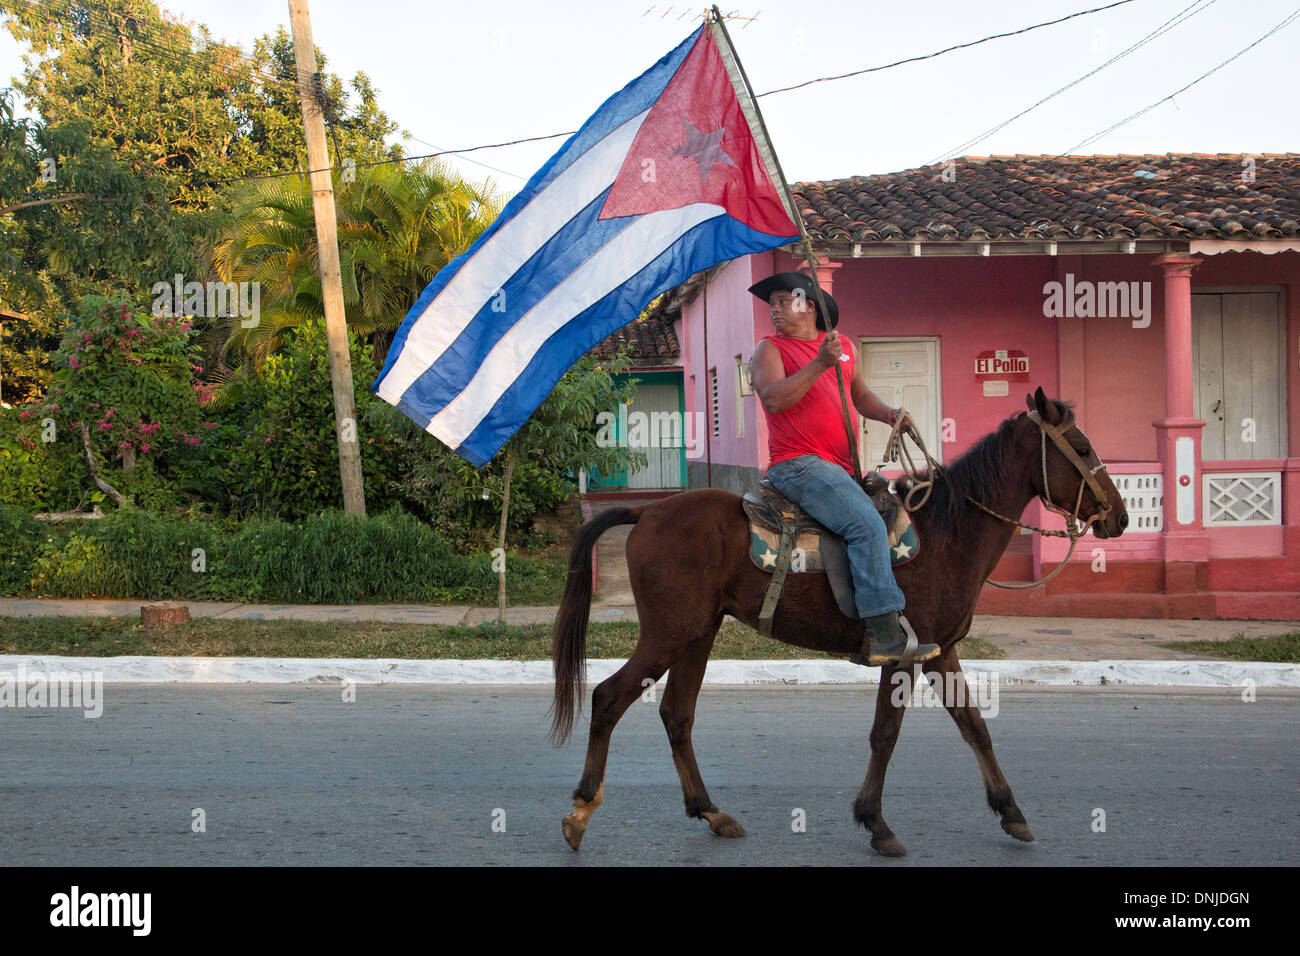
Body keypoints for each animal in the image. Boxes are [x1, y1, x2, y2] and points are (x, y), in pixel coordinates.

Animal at [548, 385, 1128, 858]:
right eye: (1080, 447)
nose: (1120, 516)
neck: (948, 533)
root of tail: (647, 511)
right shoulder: (902, 656)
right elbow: (885, 735)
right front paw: (876, 823)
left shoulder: (940, 651)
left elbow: (975, 727)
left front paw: (1011, 812)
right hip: (669, 633)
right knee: (609, 697)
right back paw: (580, 811)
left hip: (698, 633)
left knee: (676, 714)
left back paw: (710, 812)